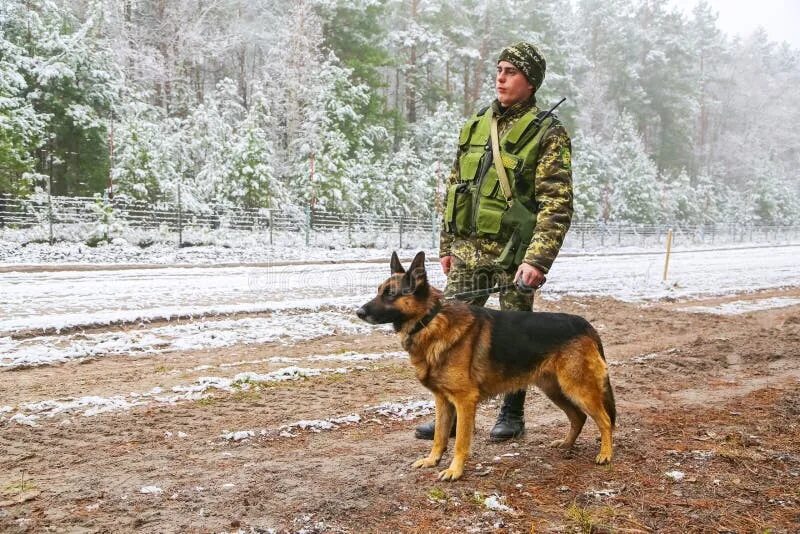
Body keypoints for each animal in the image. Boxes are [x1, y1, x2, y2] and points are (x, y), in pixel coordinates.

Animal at [358, 253, 620, 484]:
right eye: (379, 291)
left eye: (391, 294)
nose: (358, 312)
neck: (430, 319)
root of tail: (584, 324)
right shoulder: (443, 401)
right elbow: (440, 436)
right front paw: (433, 460)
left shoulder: (464, 401)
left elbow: (460, 441)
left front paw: (455, 471)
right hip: (556, 390)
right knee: (578, 417)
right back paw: (567, 444)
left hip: (578, 389)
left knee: (605, 421)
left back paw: (606, 454)